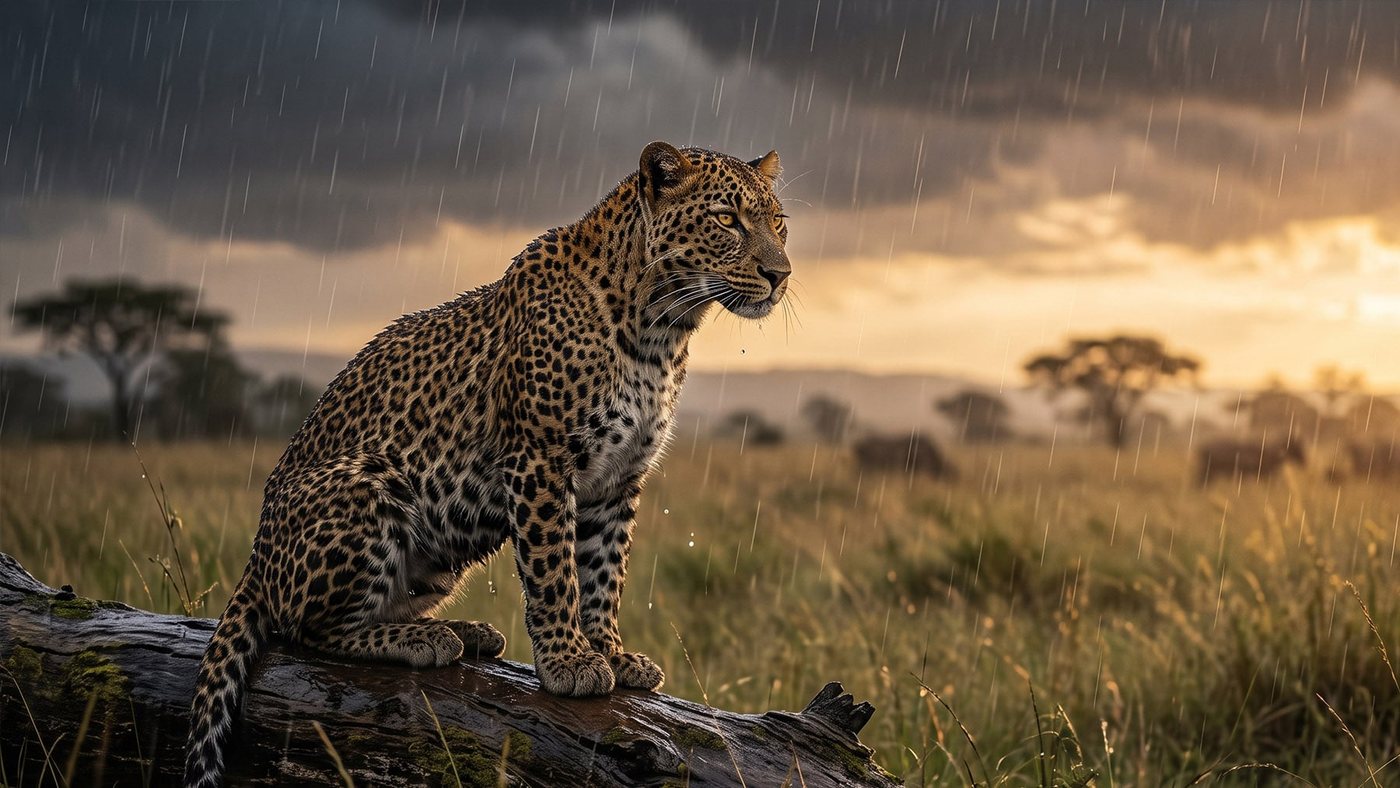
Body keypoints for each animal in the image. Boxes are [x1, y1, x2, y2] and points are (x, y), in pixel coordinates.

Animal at [182, 141, 790, 787]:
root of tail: (255, 555)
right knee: (307, 628)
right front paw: (568, 661)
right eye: (727, 219)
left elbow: (605, 573)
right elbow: (555, 571)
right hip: (371, 485)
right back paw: (424, 640)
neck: (660, 328)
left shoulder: (619, 479)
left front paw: (609, 650)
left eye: (778, 223)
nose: (781, 275)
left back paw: (460, 630)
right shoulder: (541, 459)